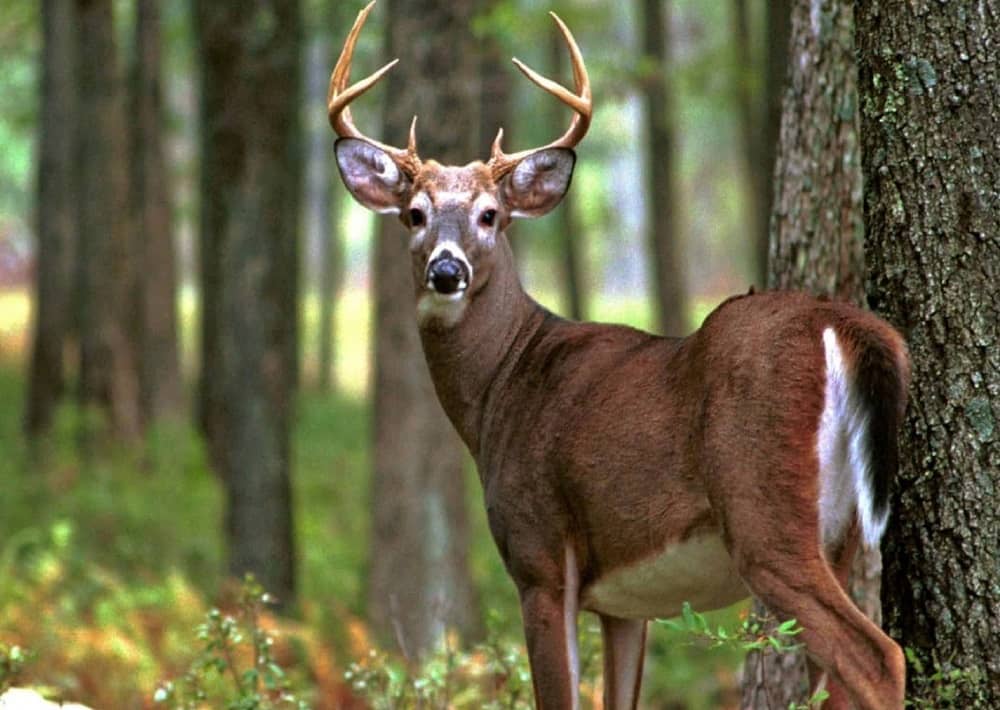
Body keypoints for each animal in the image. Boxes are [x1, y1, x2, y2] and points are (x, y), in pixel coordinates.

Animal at [328, 3, 909, 708]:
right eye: (414, 214)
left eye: (491, 215)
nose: (447, 271)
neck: (502, 387)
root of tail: (842, 323)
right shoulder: (624, 605)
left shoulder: (539, 553)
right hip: (842, 533)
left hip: (766, 511)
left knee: (876, 656)